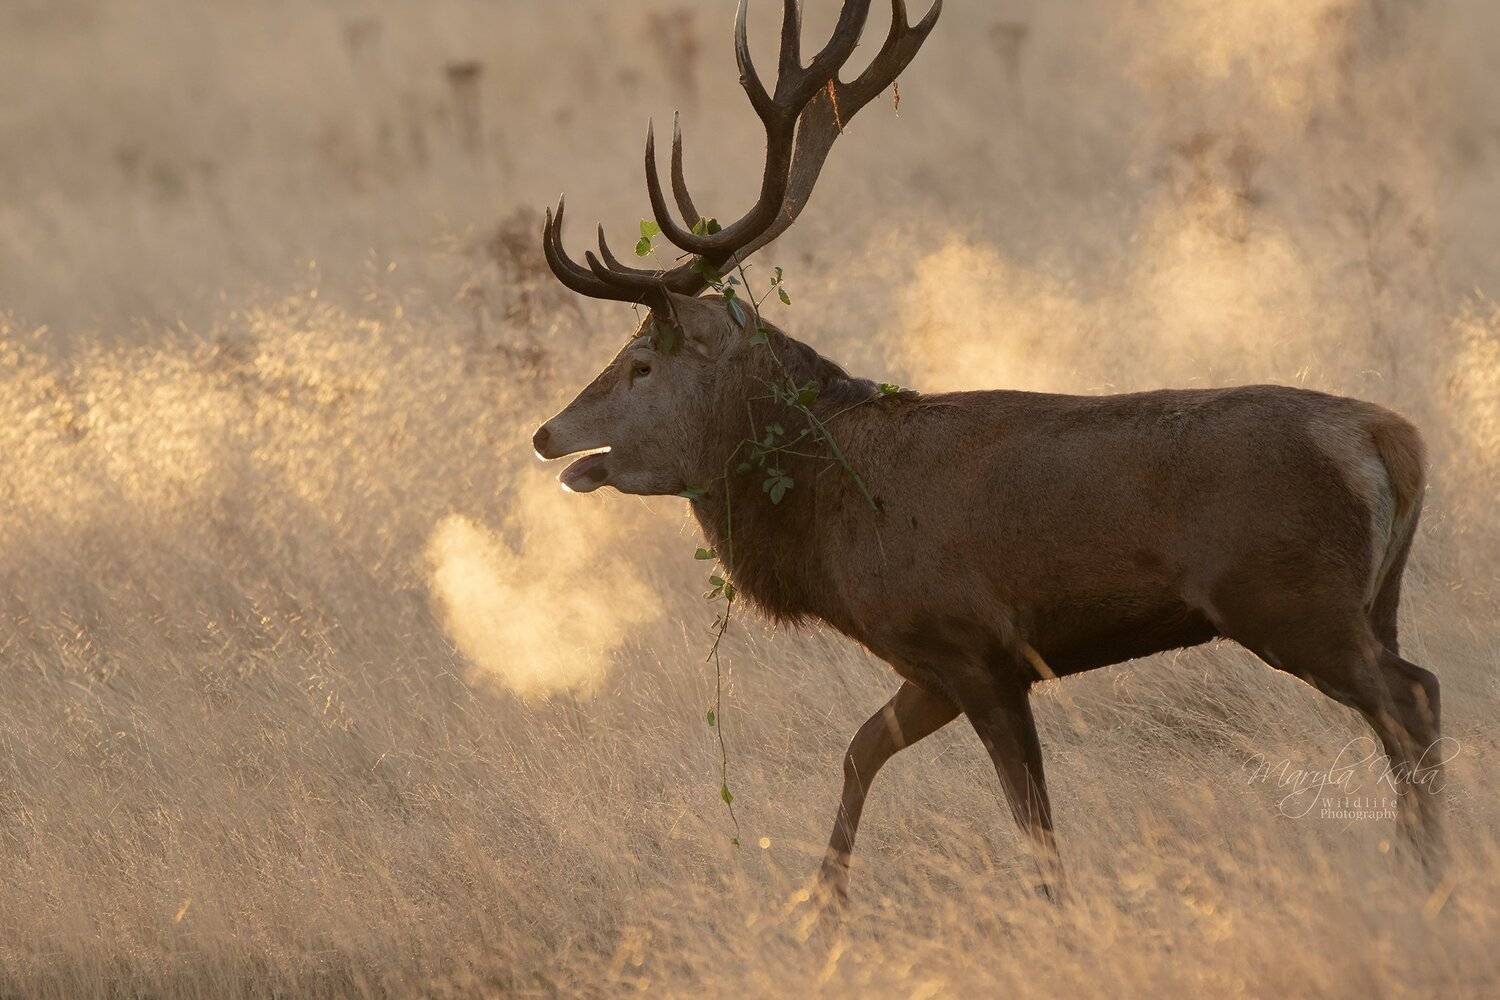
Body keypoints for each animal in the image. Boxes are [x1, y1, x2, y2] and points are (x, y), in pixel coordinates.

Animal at [531, 0, 1444, 905]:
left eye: (640, 362)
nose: (546, 433)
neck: (836, 516)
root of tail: (1391, 439)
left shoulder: (971, 643)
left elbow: (1032, 825)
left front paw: (1054, 920)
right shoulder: (929, 664)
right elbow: (859, 752)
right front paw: (819, 908)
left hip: (1286, 596)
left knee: (1408, 701)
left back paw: (1423, 877)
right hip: (1375, 596)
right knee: (1420, 688)